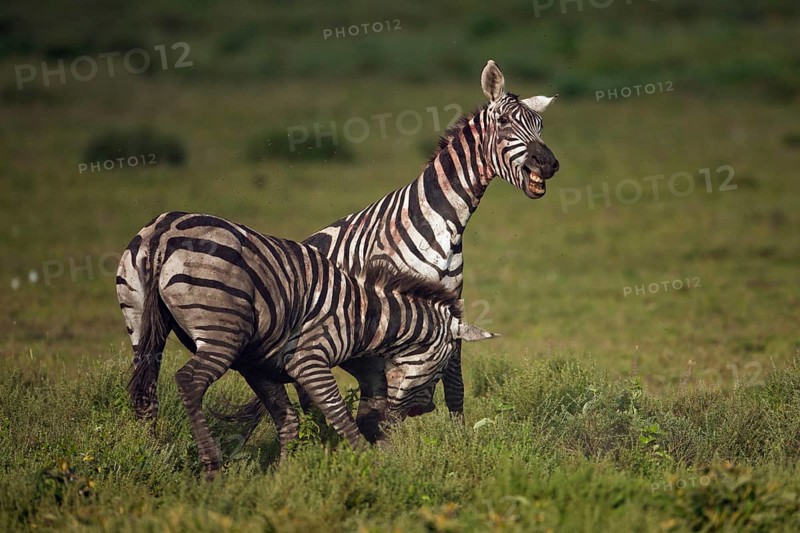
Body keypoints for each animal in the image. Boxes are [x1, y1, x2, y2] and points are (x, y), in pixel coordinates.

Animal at [116, 211, 496, 478]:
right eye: (442, 365)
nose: (424, 410)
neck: (364, 317)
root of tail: (163, 231)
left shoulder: (260, 367)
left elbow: (290, 422)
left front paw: (284, 476)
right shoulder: (309, 359)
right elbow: (338, 413)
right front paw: (370, 465)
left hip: (139, 324)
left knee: (145, 393)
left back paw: (153, 454)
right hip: (220, 330)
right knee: (189, 381)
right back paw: (212, 467)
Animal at [228, 59, 560, 440]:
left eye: (540, 126)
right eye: (504, 122)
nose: (549, 163)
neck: (445, 224)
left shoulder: (451, 308)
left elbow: (455, 385)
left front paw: (459, 440)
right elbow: (390, 390)